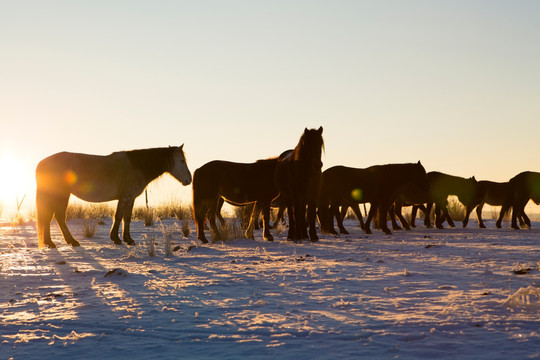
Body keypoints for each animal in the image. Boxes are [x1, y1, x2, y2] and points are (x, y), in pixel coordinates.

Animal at [35, 145, 192, 249]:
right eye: (182, 161)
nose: (189, 180)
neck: (137, 166)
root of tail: (42, 163)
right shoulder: (125, 197)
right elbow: (118, 216)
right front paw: (116, 238)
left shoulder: (130, 198)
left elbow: (126, 218)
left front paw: (128, 239)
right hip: (61, 194)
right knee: (58, 217)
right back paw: (70, 241)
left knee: (50, 217)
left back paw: (51, 242)